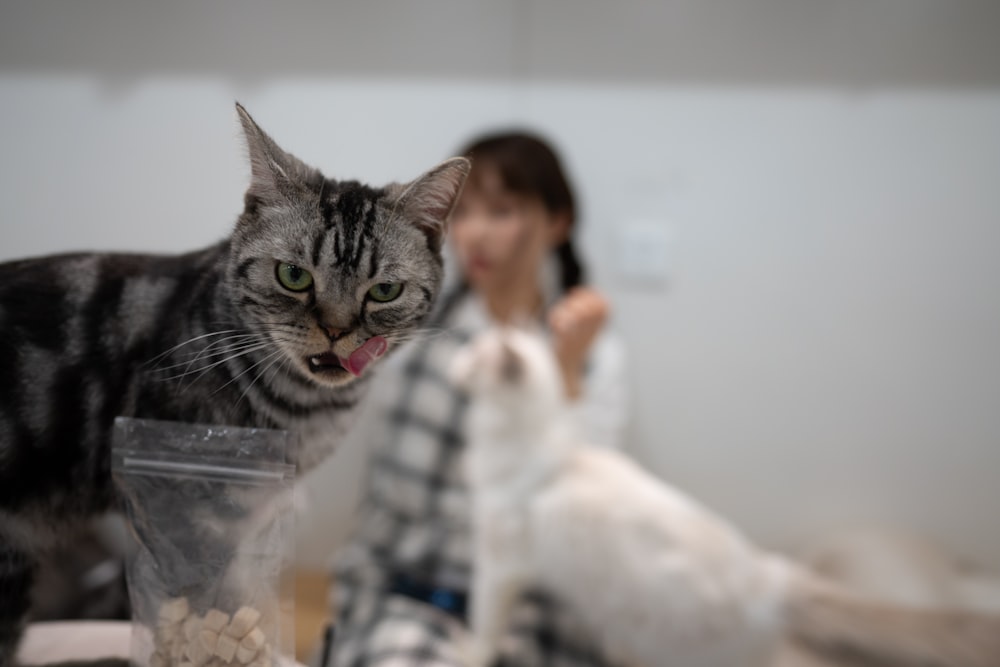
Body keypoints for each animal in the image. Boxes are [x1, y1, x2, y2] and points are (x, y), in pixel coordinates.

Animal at [0, 104, 470, 664]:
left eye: (385, 291)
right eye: (293, 276)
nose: (336, 330)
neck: (307, 413)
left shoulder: (249, 519)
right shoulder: (188, 511)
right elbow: (209, 597)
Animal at [454, 328, 1000, 667]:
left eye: (473, 354)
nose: (453, 363)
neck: (527, 443)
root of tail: (773, 575)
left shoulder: (499, 564)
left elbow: (483, 620)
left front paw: (469, 651)